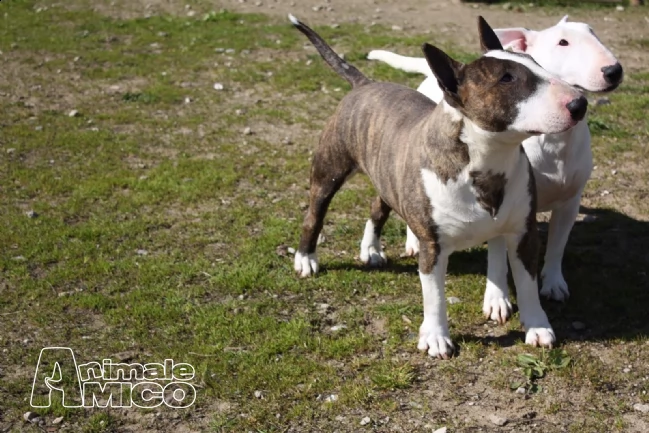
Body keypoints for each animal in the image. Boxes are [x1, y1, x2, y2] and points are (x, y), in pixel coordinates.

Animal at [292, 14, 584, 358]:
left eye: (536, 63)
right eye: (507, 78)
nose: (579, 104)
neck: (487, 161)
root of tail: (365, 84)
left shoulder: (523, 233)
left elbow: (527, 285)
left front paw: (538, 328)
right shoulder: (433, 246)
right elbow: (435, 297)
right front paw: (435, 337)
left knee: (378, 208)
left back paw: (371, 249)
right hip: (329, 171)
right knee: (314, 215)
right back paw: (306, 259)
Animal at [368, 16, 620, 316]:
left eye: (593, 32)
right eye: (563, 42)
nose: (614, 70)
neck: (553, 143)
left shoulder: (568, 202)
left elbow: (557, 246)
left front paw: (553, 283)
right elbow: (498, 254)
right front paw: (497, 298)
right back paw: (413, 241)